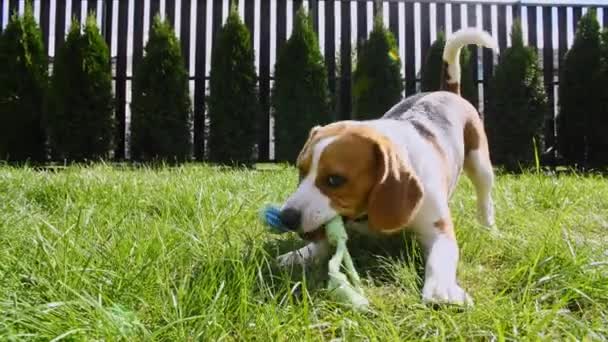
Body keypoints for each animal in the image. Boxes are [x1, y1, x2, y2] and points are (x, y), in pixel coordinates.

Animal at [278, 28, 496, 304]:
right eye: (301, 171)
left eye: (335, 180)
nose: (286, 217)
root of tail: (446, 91)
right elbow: (321, 243)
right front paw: (299, 255)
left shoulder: (439, 230)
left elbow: (441, 258)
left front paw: (441, 289)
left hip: (481, 164)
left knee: (485, 198)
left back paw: (489, 228)